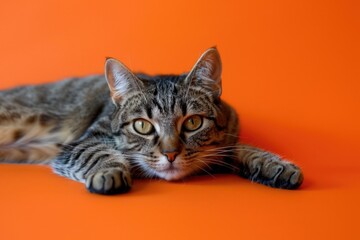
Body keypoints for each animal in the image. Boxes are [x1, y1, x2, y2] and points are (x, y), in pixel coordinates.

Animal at [0, 47, 304, 194]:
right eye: (142, 126)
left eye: (193, 123)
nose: (170, 154)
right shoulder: (81, 144)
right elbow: (98, 152)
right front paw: (109, 173)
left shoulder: (227, 139)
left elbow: (242, 148)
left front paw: (273, 164)